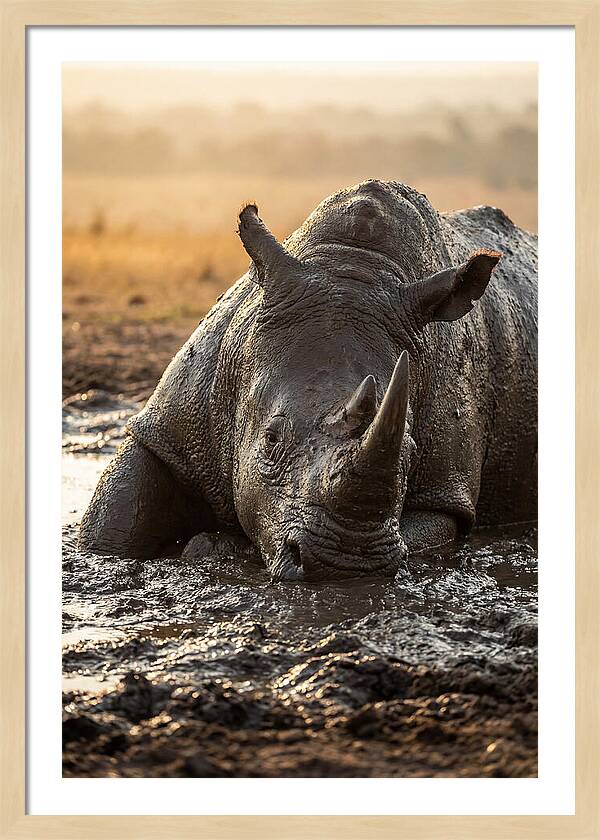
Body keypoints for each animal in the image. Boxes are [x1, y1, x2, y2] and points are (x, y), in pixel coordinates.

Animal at [80, 180, 537, 580]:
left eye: (410, 450)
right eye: (270, 439)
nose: (346, 564)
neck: (352, 265)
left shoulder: (445, 491)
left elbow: (429, 528)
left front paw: (214, 547)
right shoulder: (170, 426)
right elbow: (112, 524)